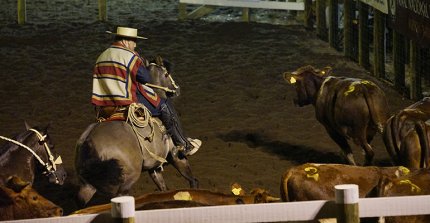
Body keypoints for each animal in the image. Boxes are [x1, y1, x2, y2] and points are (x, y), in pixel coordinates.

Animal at [75, 56, 198, 206]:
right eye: (166, 74)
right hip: (127, 180)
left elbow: (163, 188)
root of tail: (89, 142)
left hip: (86, 185)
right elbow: (191, 179)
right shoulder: (176, 156)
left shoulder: (154, 168)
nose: (177, 89)